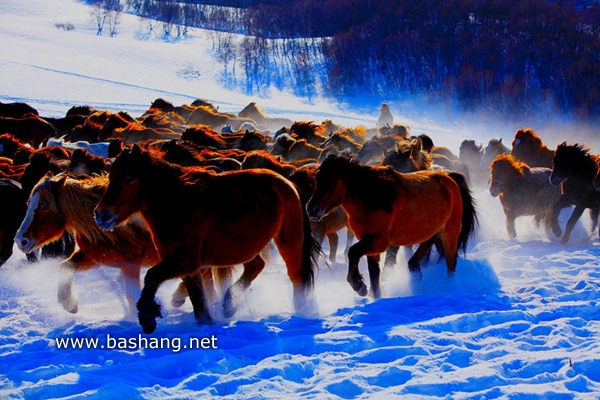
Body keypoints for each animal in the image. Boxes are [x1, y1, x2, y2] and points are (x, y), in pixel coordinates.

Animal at [95, 145, 318, 332]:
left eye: (130, 178)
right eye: (111, 177)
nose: (102, 215)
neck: (177, 203)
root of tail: (288, 183)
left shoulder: (185, 260)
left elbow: (152, 276)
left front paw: (147, 318)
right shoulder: (189, 265)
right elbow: (198, 298)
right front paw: (206, 324)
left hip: (288, 241)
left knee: (295, 276)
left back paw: (300, 312)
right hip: (244, 247)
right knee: (256, 266)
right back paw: (229, 304)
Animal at [308, 155, 476, 298]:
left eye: (333, 181)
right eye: (317, 177)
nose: (311, 209)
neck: (373, 197)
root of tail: (450, 178)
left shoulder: (378, 242)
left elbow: (353, 252)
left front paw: (359, 285)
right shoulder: (370, 244)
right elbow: (374, 274)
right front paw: (374, 296)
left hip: (450, 232)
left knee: (451, 263)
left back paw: (448, 286)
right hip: (433, 230)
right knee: (428, 246)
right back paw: (415, 269)